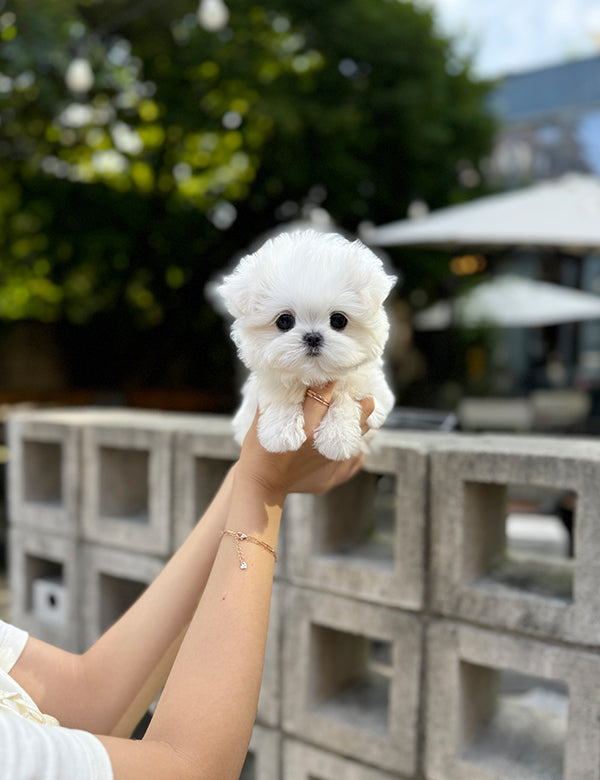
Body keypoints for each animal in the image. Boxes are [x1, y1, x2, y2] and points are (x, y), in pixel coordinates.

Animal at [218, 229, 396, 460]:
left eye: (338, 320)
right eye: (284, 321)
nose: (313, 337)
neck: (313, 377)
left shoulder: (376, 392)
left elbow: (348, 394)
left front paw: (337, 438)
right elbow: (279, 391)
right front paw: (281, 433)